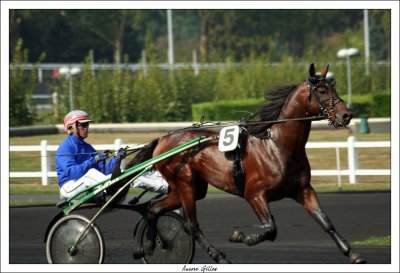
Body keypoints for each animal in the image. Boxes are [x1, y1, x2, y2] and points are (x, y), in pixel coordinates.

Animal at [125, 62, 366, 262]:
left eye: (334, 87)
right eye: (322, 91)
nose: (346, 115)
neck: (278, 146)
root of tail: (163, 139)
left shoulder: (303, 189)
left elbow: (325, 221)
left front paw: (352, 253)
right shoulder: (254, 194)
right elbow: (270, 228)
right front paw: (240, 236)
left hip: (193, 187)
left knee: (154, 208)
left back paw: (147, 246)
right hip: (184, 183)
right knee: (190, 224)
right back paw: (218, 255)